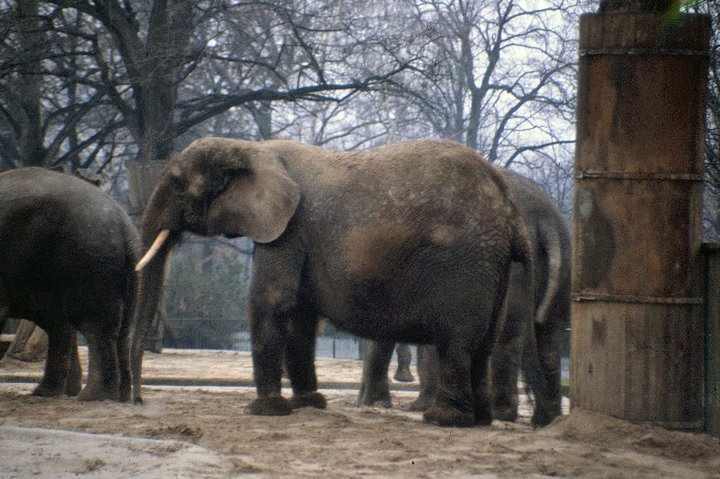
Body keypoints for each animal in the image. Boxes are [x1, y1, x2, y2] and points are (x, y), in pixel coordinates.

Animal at [132, 137, 533, 427]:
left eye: (176, 183)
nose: (137, 400)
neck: (252, 147)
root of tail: (508, 205)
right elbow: (300, 315)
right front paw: (309, 405)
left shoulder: (288, 229)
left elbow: (273, 300)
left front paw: (264, 411)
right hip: (492, 264)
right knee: (484, 342)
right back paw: (480, 421)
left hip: (463, 262)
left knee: (456, 341)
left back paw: (443, 420)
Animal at [357, 169, 571, 427]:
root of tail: (545, 219)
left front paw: (381, 405)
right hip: (562, 267)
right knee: (549, 337)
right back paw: (546, 420)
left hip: (510, 270)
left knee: (507, 337)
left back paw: (503, 414)